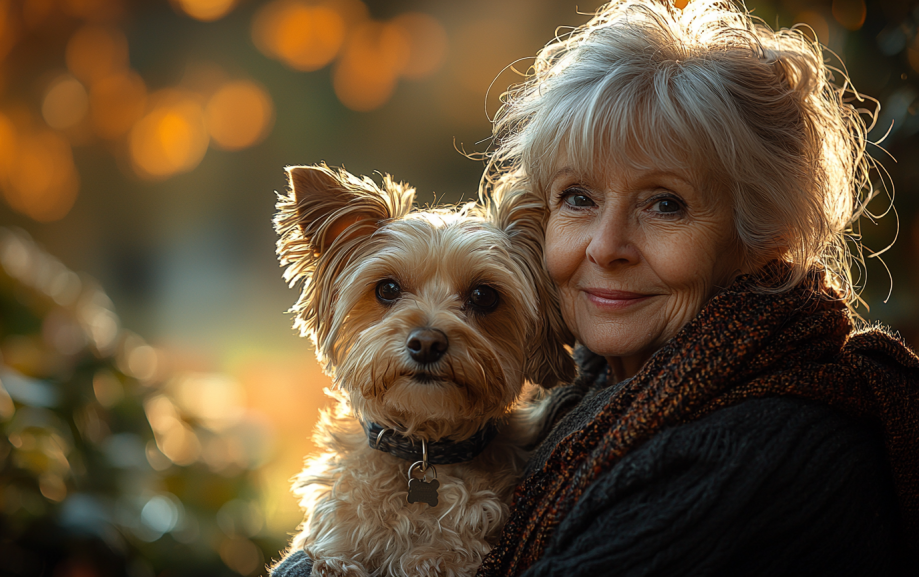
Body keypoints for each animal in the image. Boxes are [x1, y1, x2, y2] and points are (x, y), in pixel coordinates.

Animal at [274, 164, 576, 572]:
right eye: (386, 289)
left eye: (483, 295)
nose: (426, 343)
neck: (422, 448)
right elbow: (335, 553)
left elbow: (435, 557)